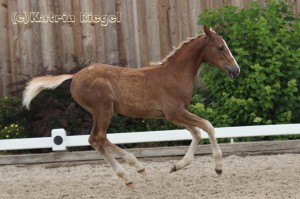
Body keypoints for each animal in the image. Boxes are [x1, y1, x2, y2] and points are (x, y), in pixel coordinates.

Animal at [22, 25, 239, 186]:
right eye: (220, 47)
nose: (236, 70)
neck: (174, 74)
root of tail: (75, 76)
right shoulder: (175, 112)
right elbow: (208, 126)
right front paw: (218, 167)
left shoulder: (173, 115)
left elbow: (197, 132)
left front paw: (177, 166)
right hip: (103, 110)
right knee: (98, 138)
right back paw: (132, 170)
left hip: (101, 112)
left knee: (97, 140)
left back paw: (131, 173)